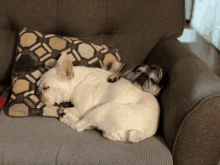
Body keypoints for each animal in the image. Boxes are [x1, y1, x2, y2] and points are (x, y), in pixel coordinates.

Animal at [36, 52, 167, 142]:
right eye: (37, 86)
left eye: (46, 87)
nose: (38, 93)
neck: (76, 81)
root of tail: (140, 133)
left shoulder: (81, 108)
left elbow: (73, 112)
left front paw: (58, 110)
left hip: (102, 110)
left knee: (79, 125)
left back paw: (65, 117)